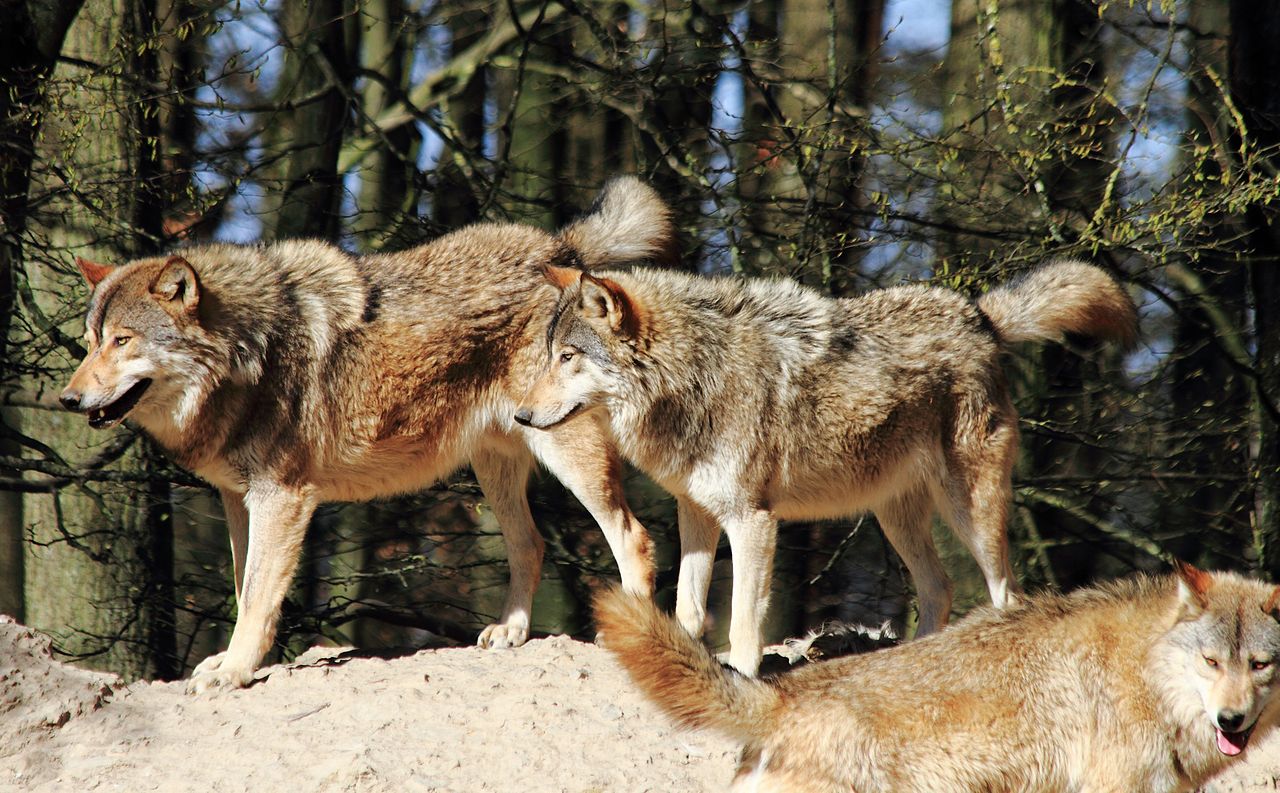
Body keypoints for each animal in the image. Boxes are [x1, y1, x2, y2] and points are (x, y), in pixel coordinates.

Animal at [59, 177, 672, 693]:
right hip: (494, 468)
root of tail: (561, 251)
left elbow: (257, 595)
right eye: (89, 342)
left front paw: (234, 671)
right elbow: (242, 586)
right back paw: (510, 633)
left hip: (567, 457)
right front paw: (235, 662)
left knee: (634, 537)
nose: (67, 400)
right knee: (531, 544)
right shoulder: (239, 498)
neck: (250, 351)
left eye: (122, 341)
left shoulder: (282, 498)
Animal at [516, 260, 1137, 674]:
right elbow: (688, 608)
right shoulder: (696, 512)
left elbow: (744, 618)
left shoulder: (753, 521)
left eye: (568, 357)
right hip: (896, 518)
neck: (694, 373)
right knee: (938, 589)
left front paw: (742, 676)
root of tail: (978, 316)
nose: (519, 415)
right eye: (547, 357)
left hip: (971, 510)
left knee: (1006, 595)